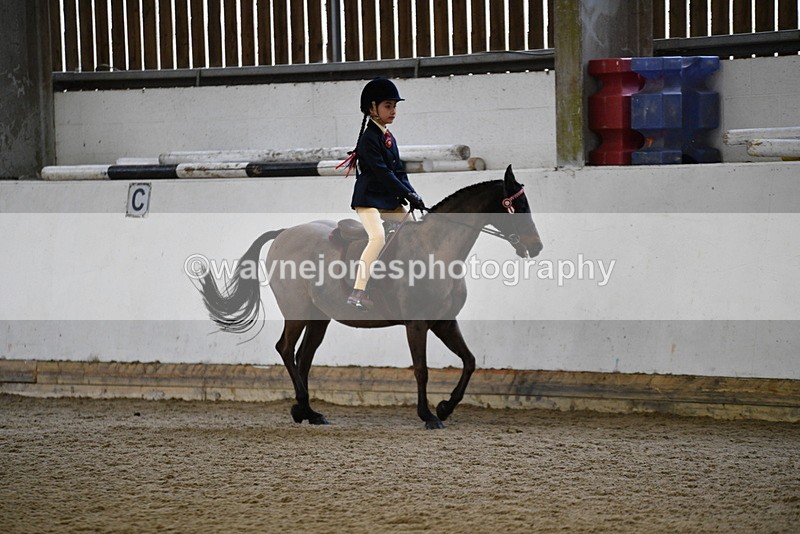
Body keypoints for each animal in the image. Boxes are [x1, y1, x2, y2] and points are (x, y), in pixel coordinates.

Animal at [198, 165, 543, 429]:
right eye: (519, 207)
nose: (536, 247)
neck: (435, 249)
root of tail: (284, 233)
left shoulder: (444, 322)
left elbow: (469, 362)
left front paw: (445, 407)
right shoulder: (417, 324)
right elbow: (422, 369)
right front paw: (429, 416)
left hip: (319, 318)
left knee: (303, 357)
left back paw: (308, 412)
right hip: (297, 312)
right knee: (285, 349)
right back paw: (302, 407)